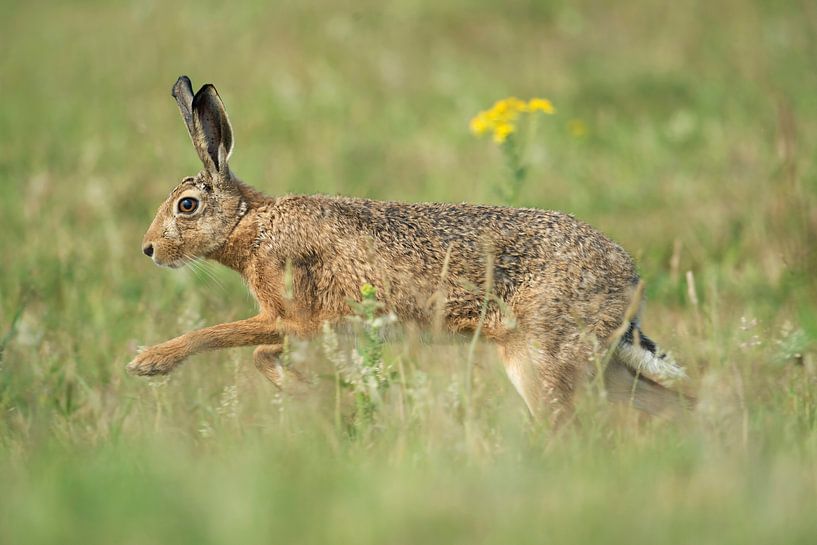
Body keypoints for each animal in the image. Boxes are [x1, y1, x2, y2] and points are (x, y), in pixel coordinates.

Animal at [127, 76, 689, 422]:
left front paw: (148, 363)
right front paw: (325, 391)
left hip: (541, 357)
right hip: (596, 364)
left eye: (187, 205)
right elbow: (261, 353)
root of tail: (628, 279)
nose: (149, 249)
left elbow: (224, 335)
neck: (251, 224)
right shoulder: (313, 327)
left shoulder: (293, 316)